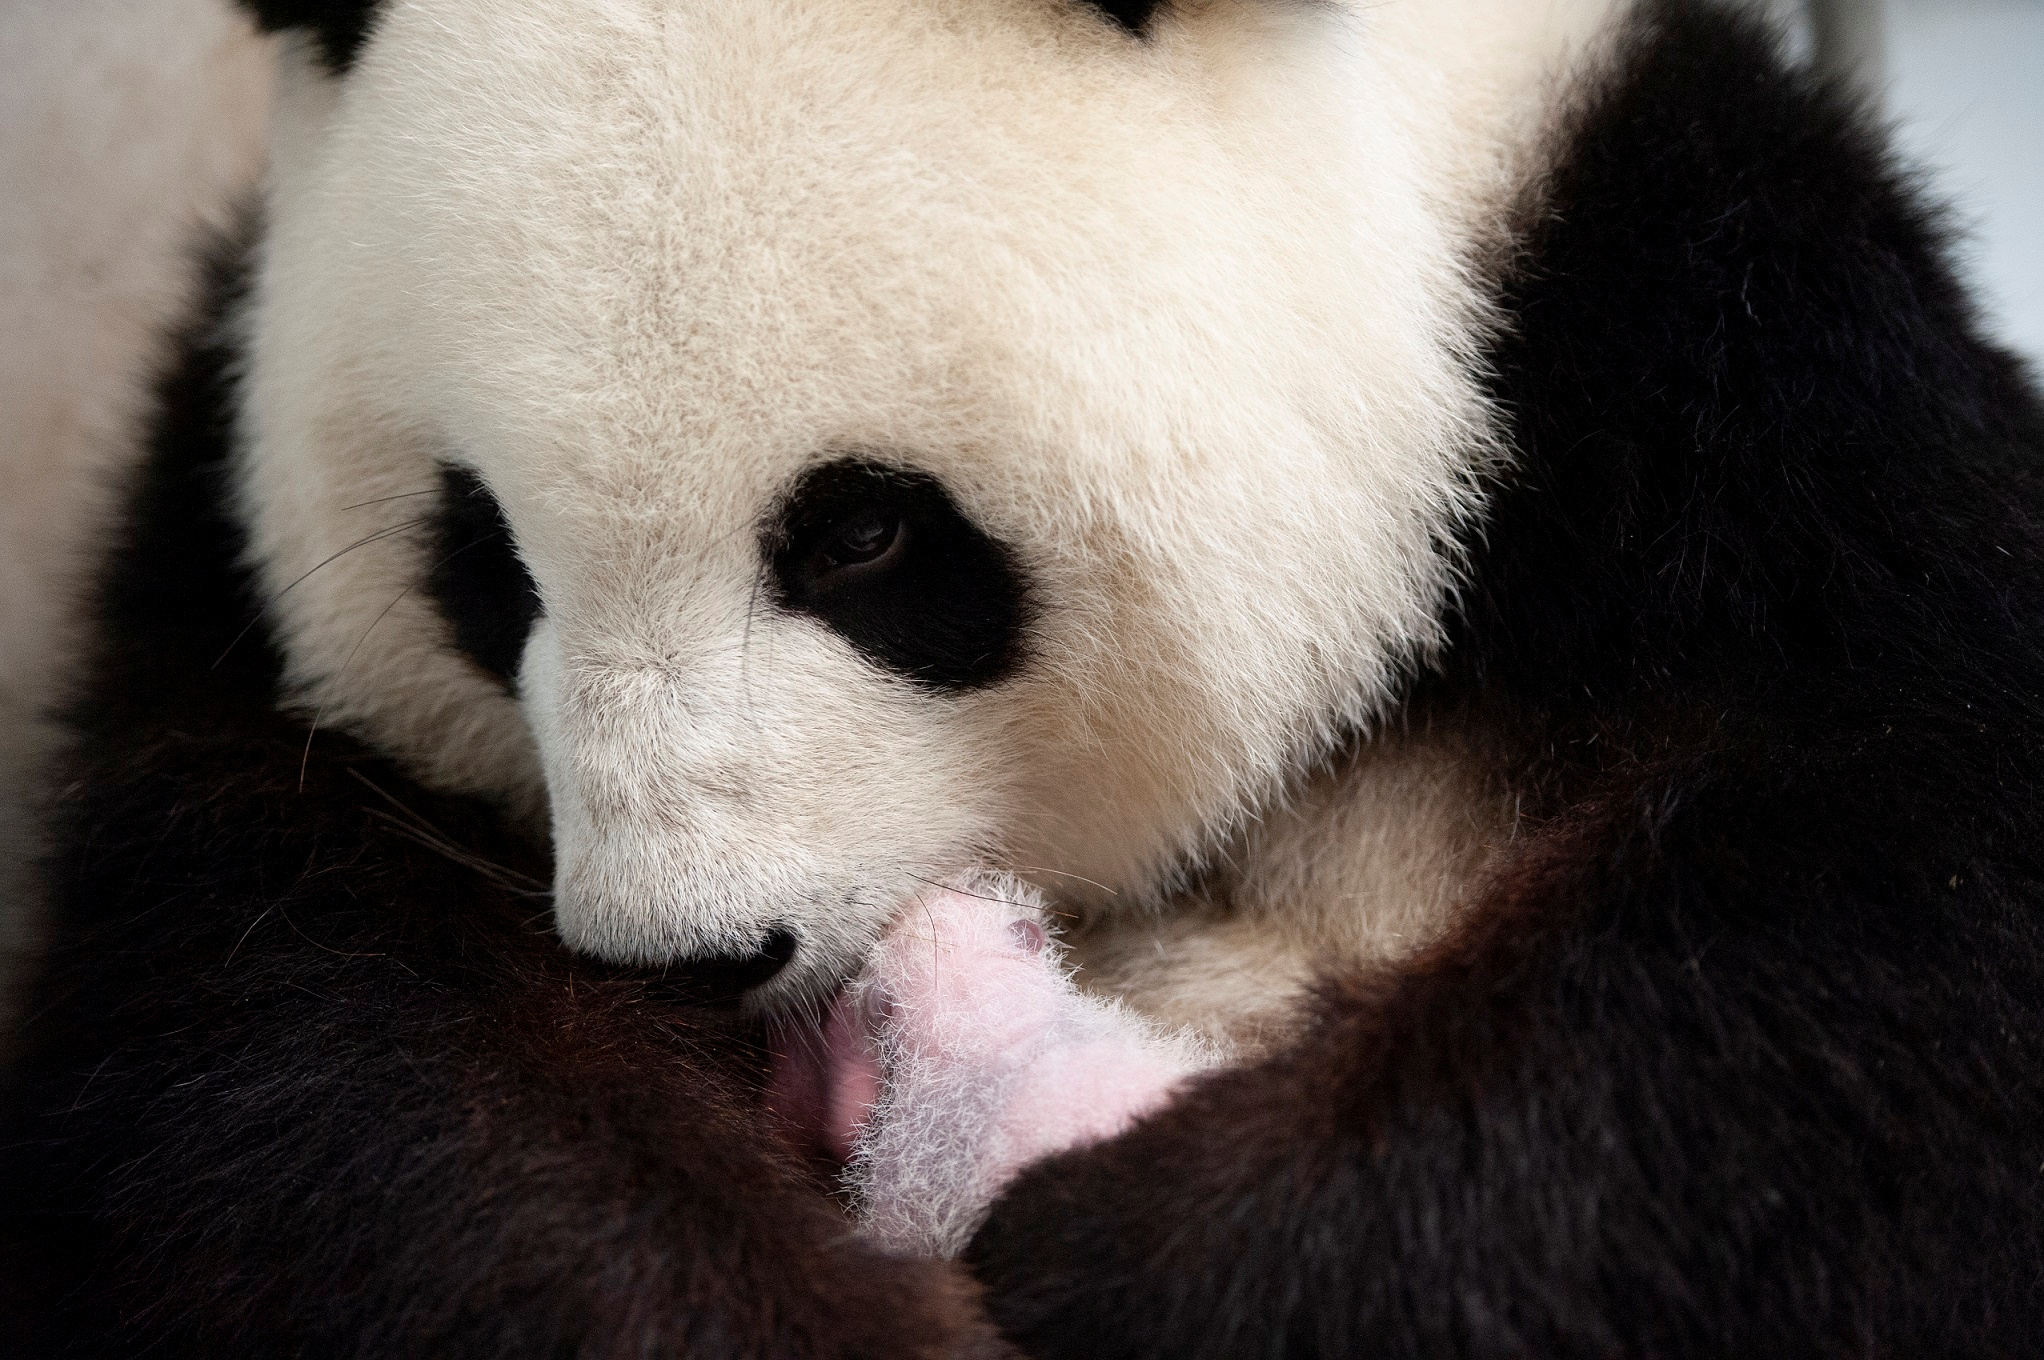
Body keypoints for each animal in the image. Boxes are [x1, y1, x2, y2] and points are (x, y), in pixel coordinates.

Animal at [3, 0, 2043, 1349]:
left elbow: (1852, 956)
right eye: (482, 558)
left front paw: (1120, 1248)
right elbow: (320, 1047)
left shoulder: (1722, 376)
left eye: (861, 535)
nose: (692, 956)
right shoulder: (202, 576)